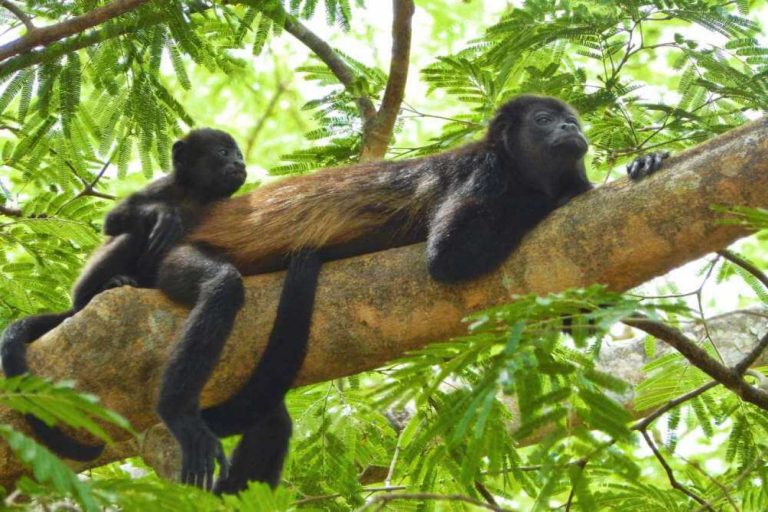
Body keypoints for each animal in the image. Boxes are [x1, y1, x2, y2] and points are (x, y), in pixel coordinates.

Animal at [0, 128, 248, 461]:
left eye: (238, 153)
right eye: (223, 152)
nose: (239, 162)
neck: (196, 193)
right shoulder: (161, 187)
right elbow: (115, 220)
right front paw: (162, 215)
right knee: (131, 235)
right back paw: (101, 288)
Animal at [151, 94, 668, 493]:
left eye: (570, 118)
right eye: (544, 119)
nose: (570, 126)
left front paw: (646, 162)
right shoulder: (484, 176)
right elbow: (448, 257)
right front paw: (571, 192)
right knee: (220, 288)